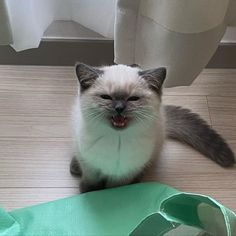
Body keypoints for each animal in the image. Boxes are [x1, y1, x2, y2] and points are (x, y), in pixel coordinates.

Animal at [71, 62, 235, 194]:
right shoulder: (90, 165)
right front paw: (88, 192)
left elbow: (113, 189)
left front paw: (106, 196)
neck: (117, 140)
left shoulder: (123, 174)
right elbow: (91, 181)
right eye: (106, 97)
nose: (119, 108)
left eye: (133, 99)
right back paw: (74, 167)